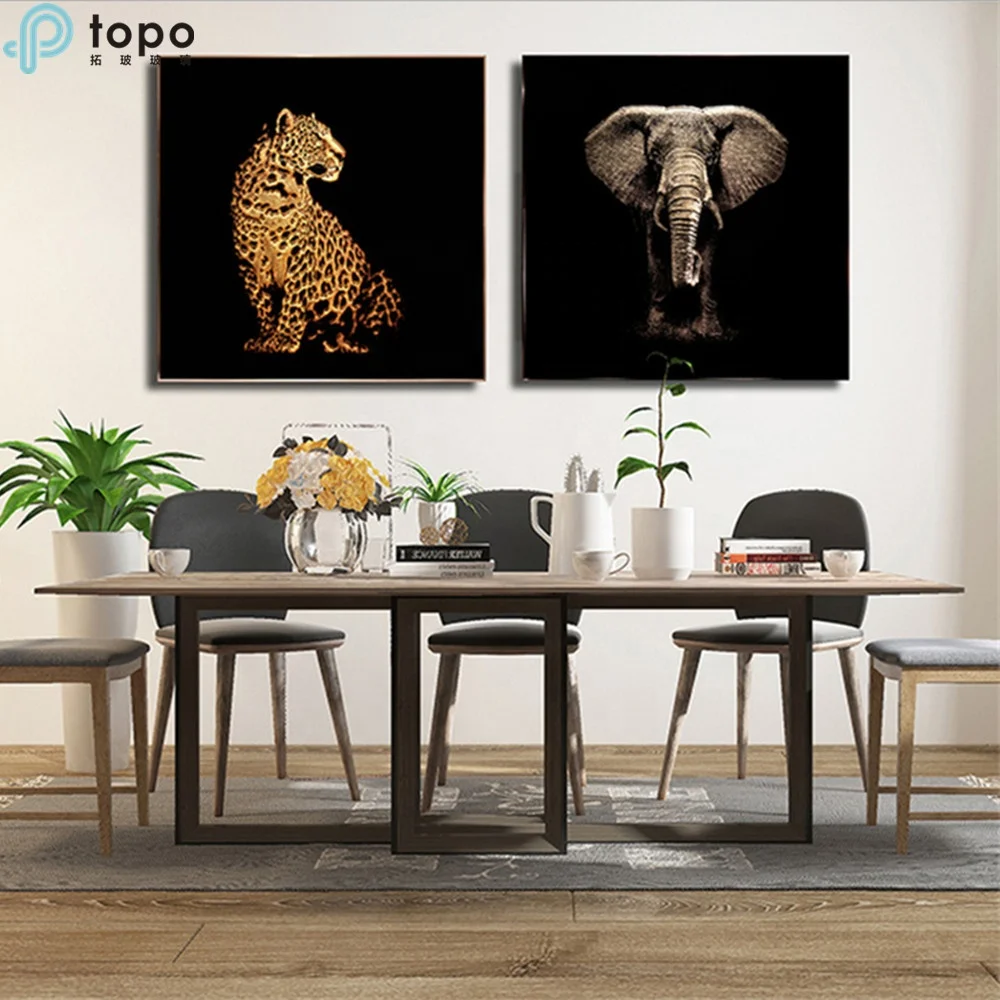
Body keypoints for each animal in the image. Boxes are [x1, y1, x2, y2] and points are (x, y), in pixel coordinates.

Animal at [585, 104, 787, 341]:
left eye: (712, 156)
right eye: (654, 155)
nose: (693, 257)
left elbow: (709, 254)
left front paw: (708, 332)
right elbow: (655, 250)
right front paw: (657, 329)